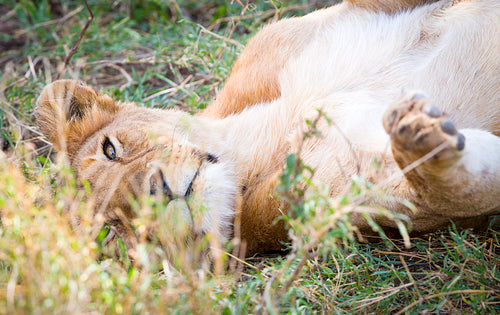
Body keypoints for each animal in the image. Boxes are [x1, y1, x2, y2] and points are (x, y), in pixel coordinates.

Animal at [35, 0, 500, 256]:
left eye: (111, 149)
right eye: (113, 229)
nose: (158, 191)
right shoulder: (380, 206)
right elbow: (457, 190)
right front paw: (423, 138)